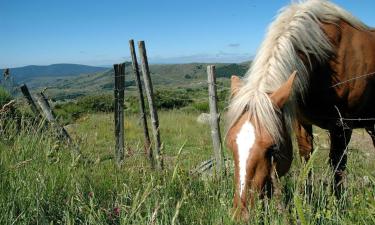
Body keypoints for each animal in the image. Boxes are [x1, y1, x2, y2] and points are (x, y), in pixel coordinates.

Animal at [226, 0, 375, 218]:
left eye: (273, 148)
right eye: (231, 145)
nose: (241, 214)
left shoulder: (342, 127)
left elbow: (337, 167)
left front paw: (337, 207)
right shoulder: (301, 124)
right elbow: (307, 161)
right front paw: (307, 200)